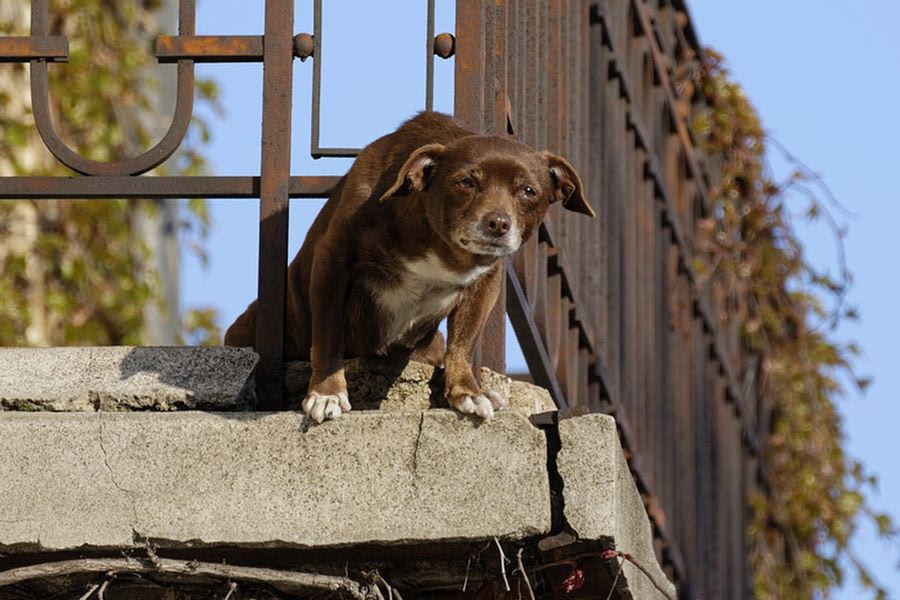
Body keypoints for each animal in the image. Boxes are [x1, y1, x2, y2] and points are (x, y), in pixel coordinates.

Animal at [224, 112, 592, 422]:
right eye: (466, 182)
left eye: (529, 191)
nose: (498, 223)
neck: (441, 247)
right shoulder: (332, 259)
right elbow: (329, 334)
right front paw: (327, 393)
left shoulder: (486, 283)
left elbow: (463, 342)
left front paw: (468, 392)